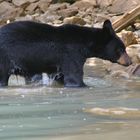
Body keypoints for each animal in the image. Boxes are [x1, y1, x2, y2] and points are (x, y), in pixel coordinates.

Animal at [0, 19, 132, 87]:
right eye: (121, 49)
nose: (130, 62)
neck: (85, 44)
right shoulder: (71, 54)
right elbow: (74, 76)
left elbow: (62, 76)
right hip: (4, 58)